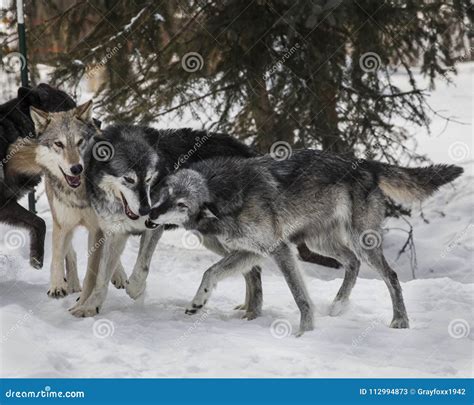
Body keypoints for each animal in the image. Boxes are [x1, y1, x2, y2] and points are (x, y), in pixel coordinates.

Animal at [145, 150, 462, 332]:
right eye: (165, 194)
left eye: (182, 205)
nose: (150, 214)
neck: (224, 193)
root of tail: (366, 162)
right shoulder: (252, 252)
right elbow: (210, 272)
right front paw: (198, 303)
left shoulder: (278, 249)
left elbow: (299, 295)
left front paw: (305, 331)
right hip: (321, 243)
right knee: (352, 263)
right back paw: (338, 305)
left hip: (361, 241)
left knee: (391, 275)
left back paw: (400, 321)